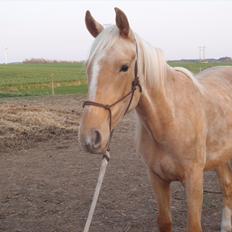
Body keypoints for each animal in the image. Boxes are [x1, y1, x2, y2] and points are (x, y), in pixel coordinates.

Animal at [79, 7, 232, 232]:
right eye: (88, 67)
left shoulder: (194, 180)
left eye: (124, 67)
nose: (90, 137)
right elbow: (165, 221)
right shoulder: (157, 179)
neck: (169, 121)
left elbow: (194, 225)